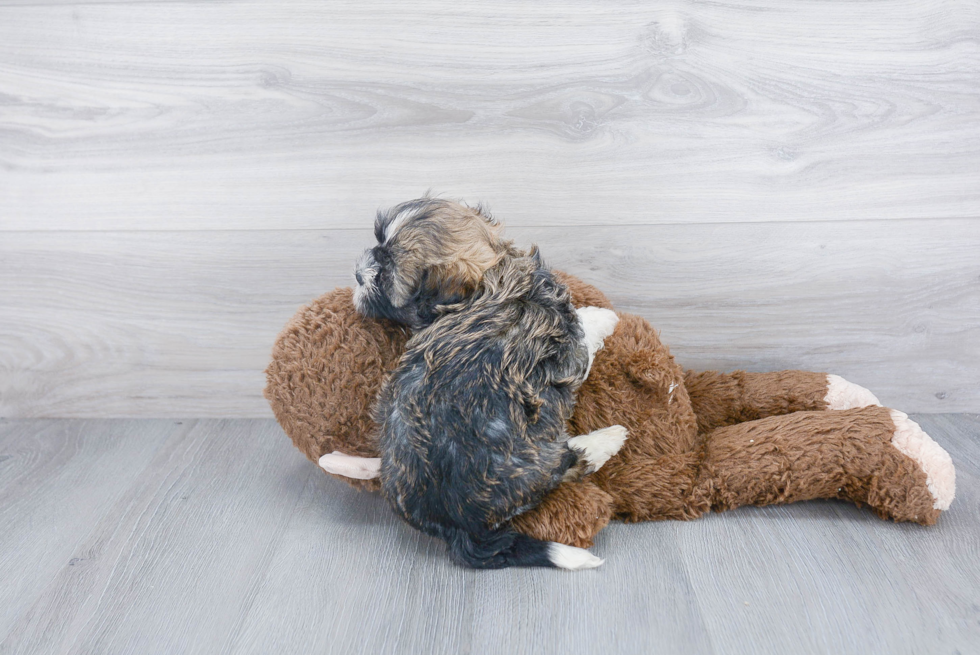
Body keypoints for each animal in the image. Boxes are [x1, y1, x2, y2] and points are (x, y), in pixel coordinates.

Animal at [356, 199, 624, 568]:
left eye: (384, 273)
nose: (358, 275)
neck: (492, 275)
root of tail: (458, 528)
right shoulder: (568, 347)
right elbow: (584, 332)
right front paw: (602, 316)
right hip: (536, 460)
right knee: (568, 465)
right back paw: (607, 440)